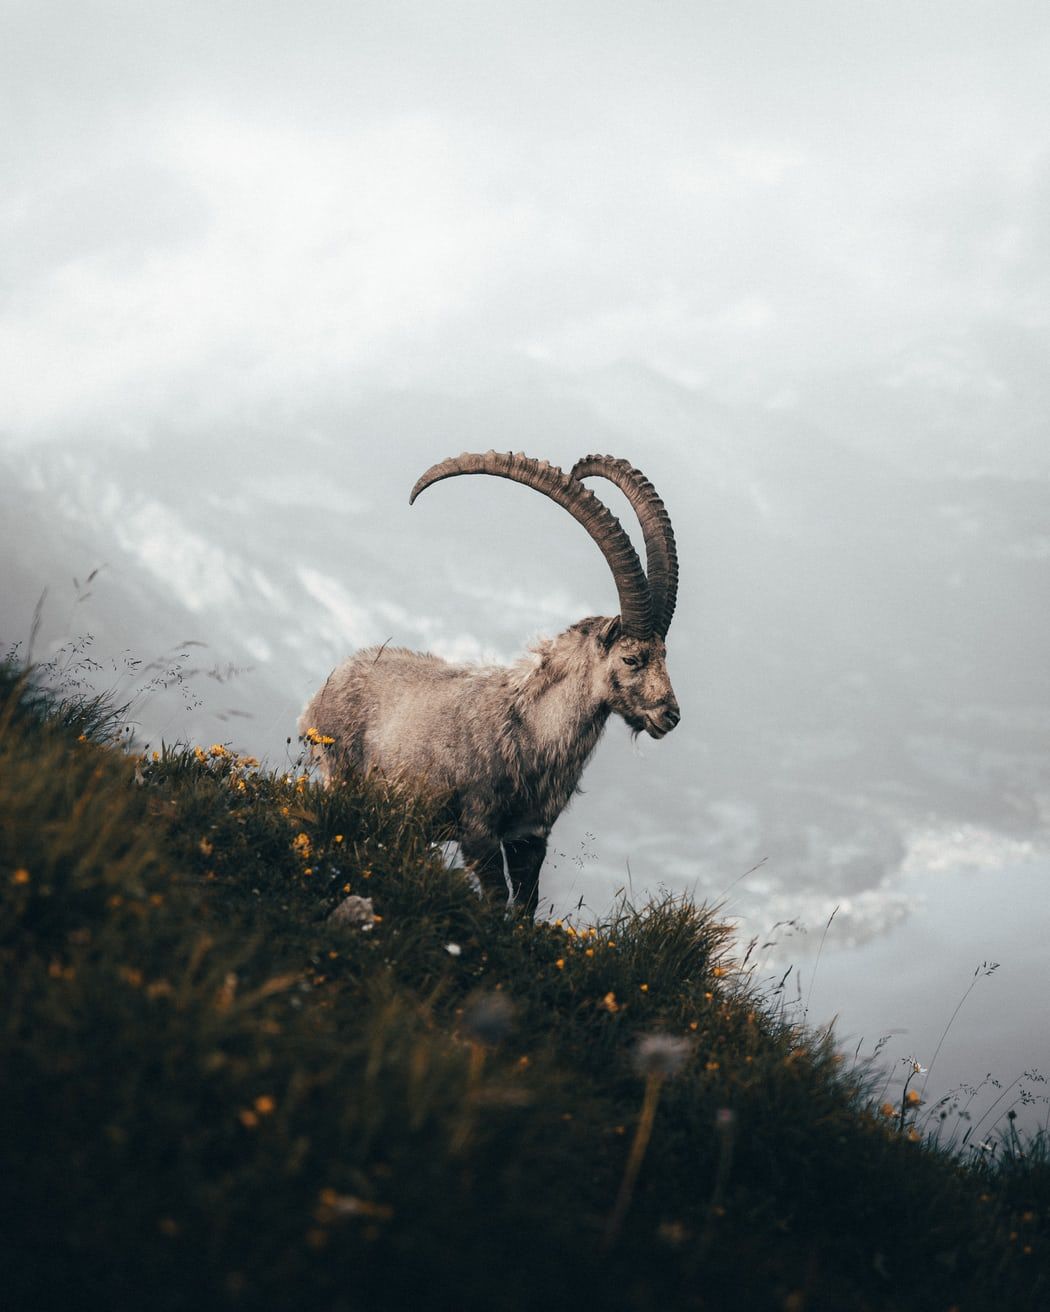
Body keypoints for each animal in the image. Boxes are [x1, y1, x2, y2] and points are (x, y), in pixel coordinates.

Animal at [299, 451, 680, 916]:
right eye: (631, 658)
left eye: (665, 656)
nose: (670, 715)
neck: (530, 730)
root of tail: (327, 686)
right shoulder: (478, 830)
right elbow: (497, 900)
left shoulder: (529, 837)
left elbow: (525, 907)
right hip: (342, 775)